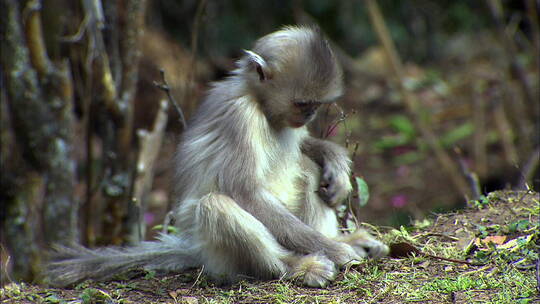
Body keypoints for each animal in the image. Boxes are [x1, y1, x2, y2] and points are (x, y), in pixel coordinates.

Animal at [44, 25, 386, 288]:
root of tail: (196, 251)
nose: (310, 115)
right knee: (216, 205)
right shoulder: (240, 116)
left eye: (315, 105)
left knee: (308, 170)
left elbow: (305, 148)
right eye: (303, 104)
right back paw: (295, 266)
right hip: (219, 256)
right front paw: (335, 251)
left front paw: (336, 164)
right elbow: (245, 193)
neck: (258, 103)